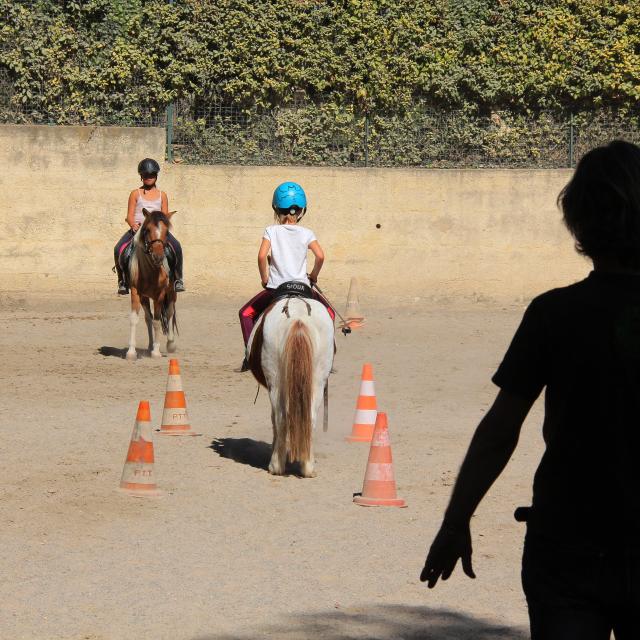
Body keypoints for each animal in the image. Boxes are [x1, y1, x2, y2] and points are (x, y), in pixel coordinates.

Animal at [125, 209, 178, 360]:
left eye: (167, 231)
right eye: (147, 230)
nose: (158, 257)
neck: (150, 270)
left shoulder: (159, 295)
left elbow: (157, 321)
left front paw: (156, 352)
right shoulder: (136, 292)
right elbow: (135, 319)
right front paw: (131, 352)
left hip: (172, 292)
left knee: (169, 312)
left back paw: (170, 344)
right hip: (144, 297)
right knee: (148, 318)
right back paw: (150, 346)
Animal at [246, 294, 336, 476]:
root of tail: (298, 317)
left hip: (276, 381)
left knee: (280, 418)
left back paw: (276, 466)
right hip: (317, 381)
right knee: (310, 418)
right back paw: (308, 467)